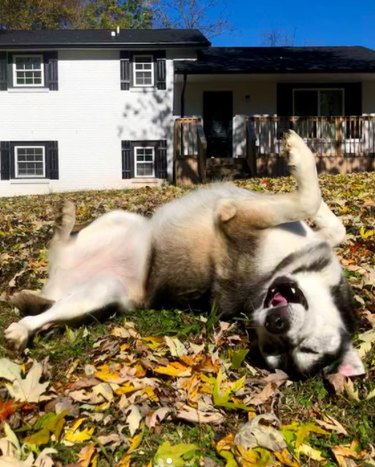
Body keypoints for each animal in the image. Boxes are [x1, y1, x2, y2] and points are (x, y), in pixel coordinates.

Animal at [5, 130, 364, 378]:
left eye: (284, 350)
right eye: (305, 346)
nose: (274, 323)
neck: (279, 268)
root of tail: (56, 284)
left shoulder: (238, 223)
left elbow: (306, 200)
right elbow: (327, 217)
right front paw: (301, 156)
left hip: (99, 292)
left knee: (45, 312)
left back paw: (23, 328)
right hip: (124, 220)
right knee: (60, 250)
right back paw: (63, 223)